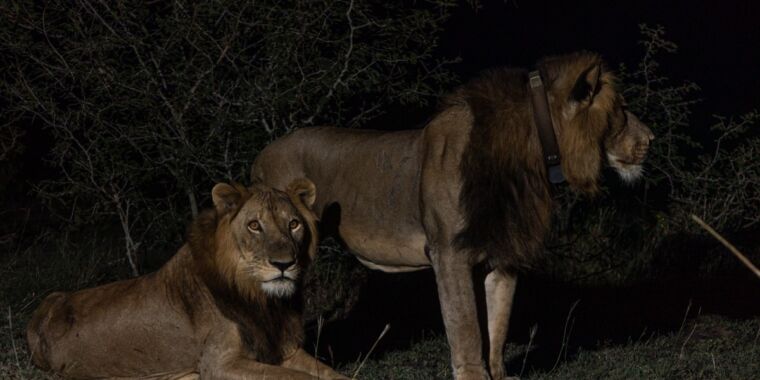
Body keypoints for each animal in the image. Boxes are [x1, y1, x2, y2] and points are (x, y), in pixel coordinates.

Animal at [26, 179, 348, 380]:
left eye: (293, 224)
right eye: (255, 225)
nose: (284, 264)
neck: (261, 299)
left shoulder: (282, 348)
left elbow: (329, 373)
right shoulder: (218, 364)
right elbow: (296, 377)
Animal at [251, 51, 652, 380]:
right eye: (621, 108)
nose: (650, 138)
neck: (530, 159)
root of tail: (263, 154)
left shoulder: (503, 254)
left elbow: (497, 325)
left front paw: (498, 374)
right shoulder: (449, 253)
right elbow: (467, 328)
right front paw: (473, 374)